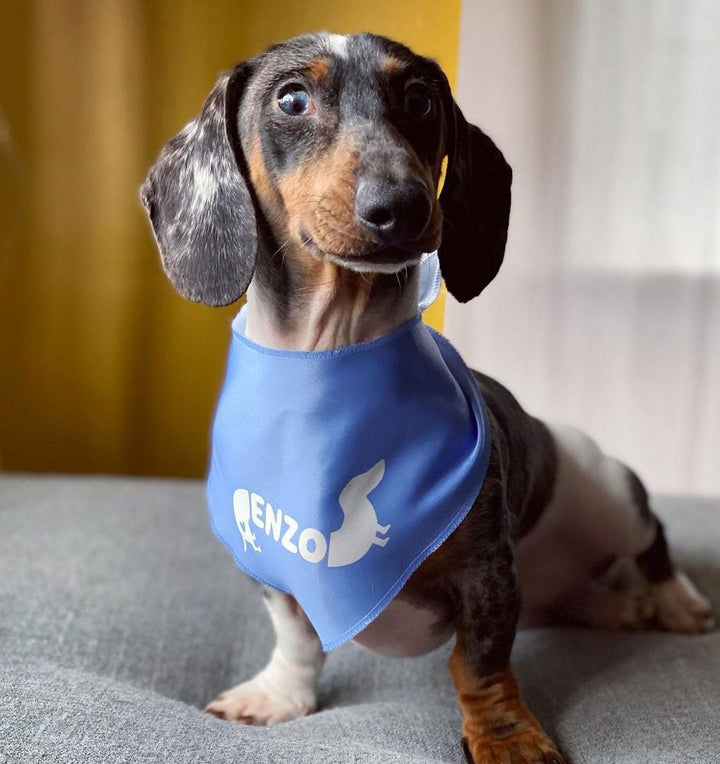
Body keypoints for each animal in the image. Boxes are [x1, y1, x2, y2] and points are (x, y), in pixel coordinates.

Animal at [141, 31, 716, 764]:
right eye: (292, 100)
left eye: (418, 100)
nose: (402, 206)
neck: (332, 357)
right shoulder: (271, 565)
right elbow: (297, 638)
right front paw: (278, 696)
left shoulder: (487, 571)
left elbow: (480, 665)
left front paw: (505, 737)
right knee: (575, 602)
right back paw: (623, 607)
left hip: (608, 494)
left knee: (653, 538)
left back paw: (673, 600)